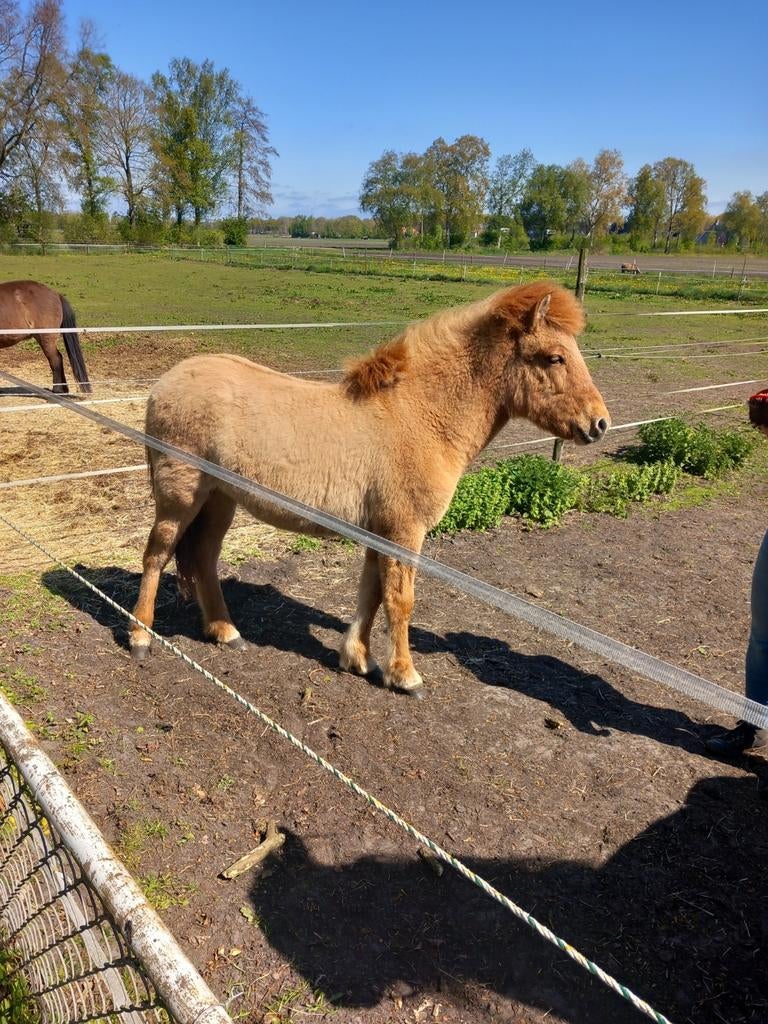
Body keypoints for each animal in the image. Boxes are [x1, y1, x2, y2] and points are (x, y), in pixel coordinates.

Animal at [128, 281, 610, 693]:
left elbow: (372, 593)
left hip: (219, 500)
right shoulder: (404, 532)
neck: (421, 417)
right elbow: (400, 600)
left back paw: (225, 632)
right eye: (554, 357)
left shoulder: (380, 532)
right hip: (180, 497)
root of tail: (164, 384)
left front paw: (358, 659)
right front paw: (405, 675)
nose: (599, 423)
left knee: (204, 557)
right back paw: (140, 636)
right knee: (157, 554)